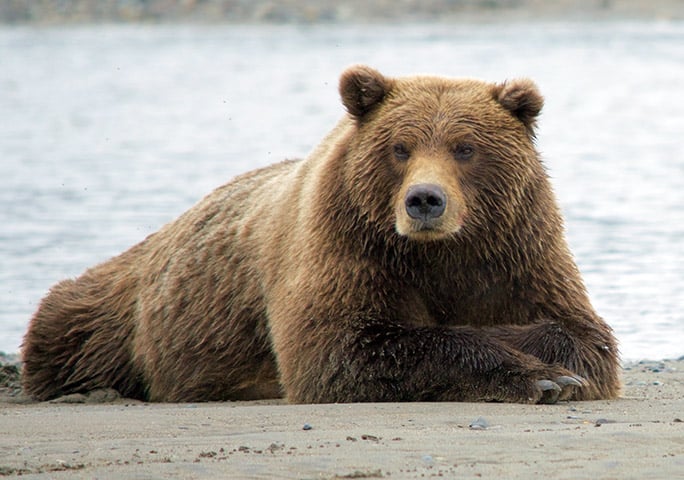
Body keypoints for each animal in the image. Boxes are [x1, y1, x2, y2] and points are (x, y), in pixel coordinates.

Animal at [22, 65, 620, 404]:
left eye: (464, 148)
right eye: (400, 147)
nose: (425, 200)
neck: (439, 253)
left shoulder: (516, 250)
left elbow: (582, 333)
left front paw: (552, 364)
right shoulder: (346, 246)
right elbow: (344, 348)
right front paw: (541, 379)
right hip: (117, 311)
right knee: (67, 326)